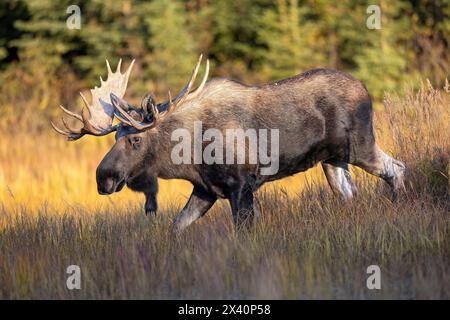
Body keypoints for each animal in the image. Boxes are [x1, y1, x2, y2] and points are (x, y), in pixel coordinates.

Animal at [51, 55, 406, 230]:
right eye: (115, 136)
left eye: (136, 138)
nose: (103, 178)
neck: (187, 157)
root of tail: (365, 88)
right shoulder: (206, 190)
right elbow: (176, 227)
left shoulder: (242, 185)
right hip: (332, 160)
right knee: (351, 192)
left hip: (360, 144)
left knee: (397, 167)